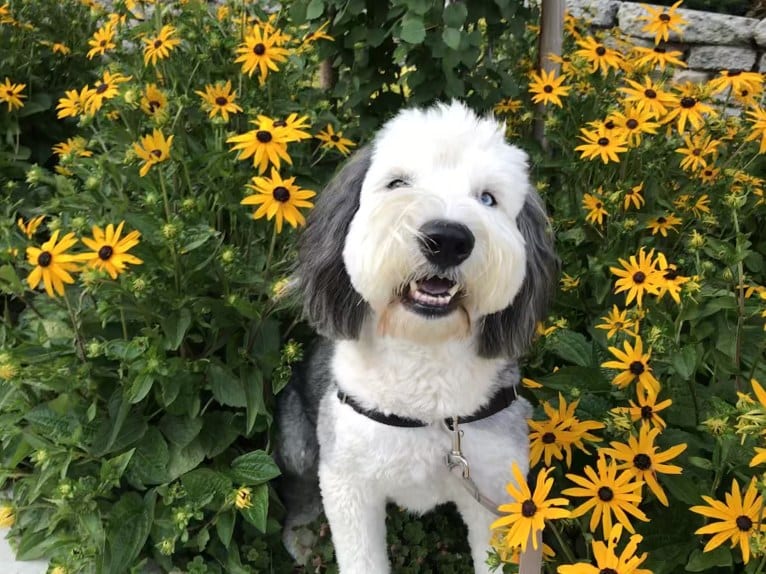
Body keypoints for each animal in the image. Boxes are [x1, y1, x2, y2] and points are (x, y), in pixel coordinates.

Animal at [276, 101, 560, 572]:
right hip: (298, 434)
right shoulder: (348, 480)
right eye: (397, 183)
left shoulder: (496, 485)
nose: (447, 239)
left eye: (488, 198)